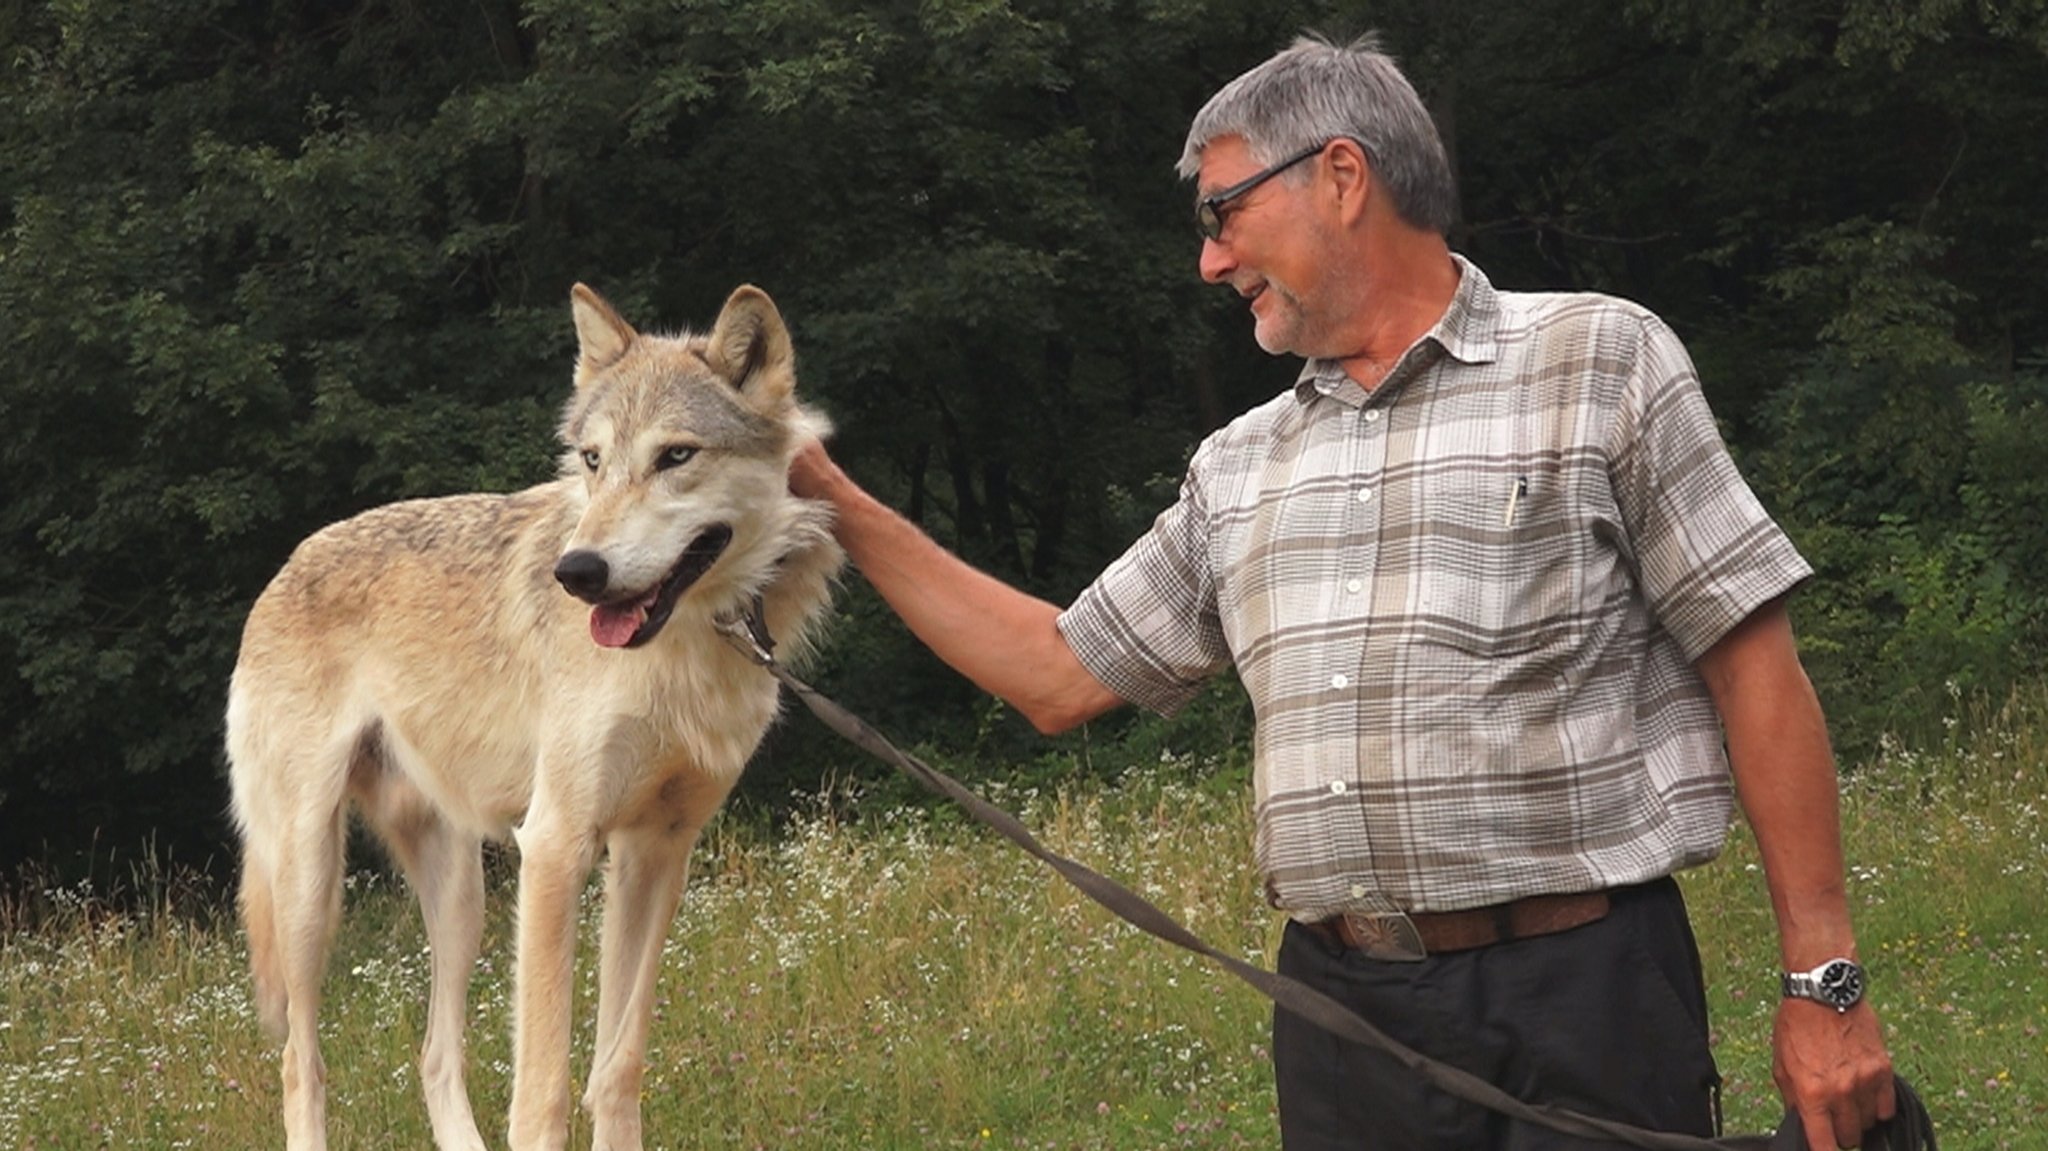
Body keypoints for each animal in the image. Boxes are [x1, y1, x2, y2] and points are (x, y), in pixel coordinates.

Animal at [226, 283, 842, 1151]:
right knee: (299, 1063)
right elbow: (543, 1092)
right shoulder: (556, 844)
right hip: (312, 888)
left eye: (676, 456)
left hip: (462, 901)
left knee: (433, 1056)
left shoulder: (655, 850)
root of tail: (285, 566)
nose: (578, 572)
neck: (686, 650)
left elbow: (616, 1069)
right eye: (592, 459)